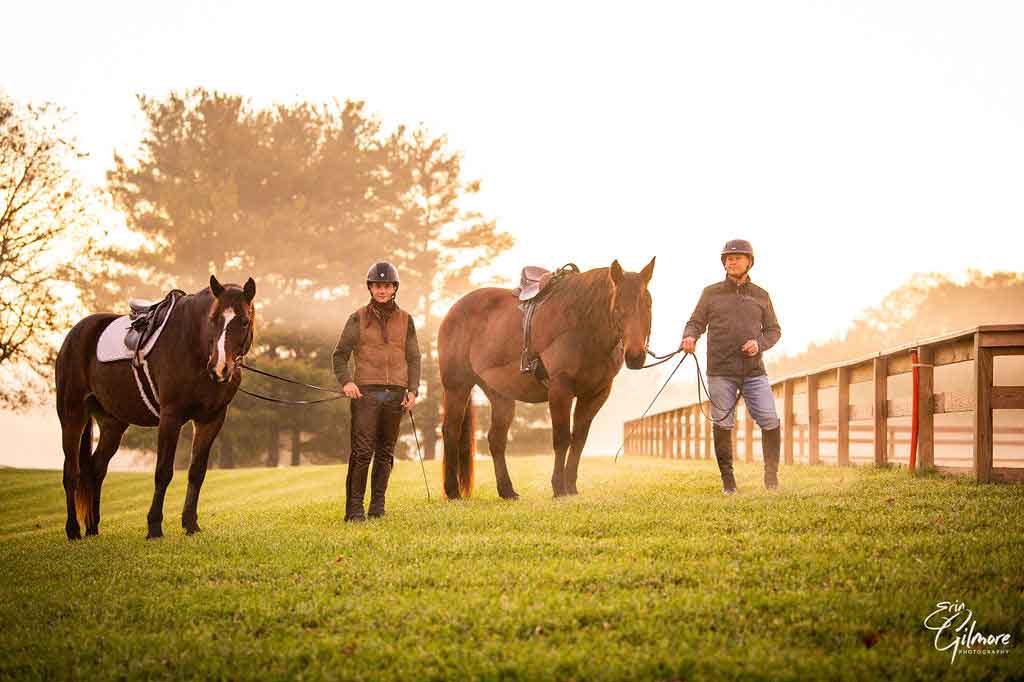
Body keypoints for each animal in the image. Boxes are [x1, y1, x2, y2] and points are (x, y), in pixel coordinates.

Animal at [54, 275, 255, 540]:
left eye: (244, 321)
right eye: (213, 319)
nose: (219, 368)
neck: (194, 344)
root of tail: (75, 334)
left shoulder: (211, 419)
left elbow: (196, 472)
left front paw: (191, 524)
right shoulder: (170, 416)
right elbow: (163, 472)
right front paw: (154, 527)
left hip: (112, 424)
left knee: (96, 470)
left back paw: (93, 528)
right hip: (72, 415)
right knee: (71, 472)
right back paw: (73, 530)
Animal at [437, 258, 655, 499]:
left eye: (648, 305)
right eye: (617, 308)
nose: (635, 356)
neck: (583, 326)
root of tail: (453, 310)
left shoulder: (595, 394)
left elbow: (579, 440)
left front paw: (571, 487)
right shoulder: (560, 390)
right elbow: (562, 439)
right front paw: (559, 488)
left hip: (500, 395)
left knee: (496, 439)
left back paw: (507, 490)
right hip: (457, 386)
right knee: (451, 431)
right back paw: (453, 491)